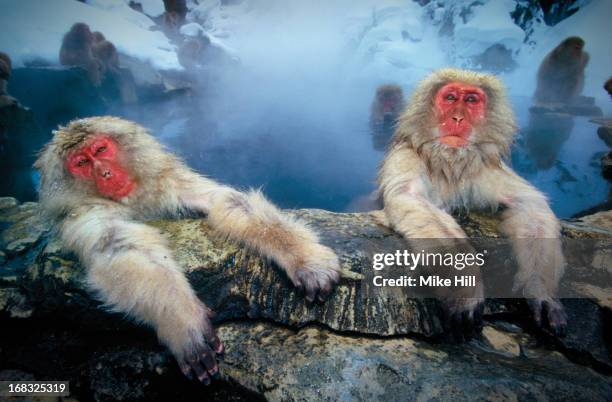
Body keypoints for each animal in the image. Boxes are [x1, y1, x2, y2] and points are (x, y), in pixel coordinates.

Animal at [35, 116, 342, 384]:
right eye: (81, 163)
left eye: (101, 149)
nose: (105, 173)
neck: (134, 201)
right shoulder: (82, 215)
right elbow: (118, 244)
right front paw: (183, 321)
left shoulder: (167, 182)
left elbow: (225, 201)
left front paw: (305, 258)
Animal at [380, 67, 568, 338]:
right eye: (450, 98)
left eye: (471, 100)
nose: (458, 118)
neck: (449, 163)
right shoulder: (406, 157)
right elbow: (409, 197)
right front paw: (463, 284)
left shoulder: (484, 168)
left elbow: (529, 205)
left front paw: (540, 290)